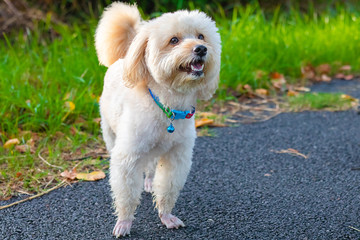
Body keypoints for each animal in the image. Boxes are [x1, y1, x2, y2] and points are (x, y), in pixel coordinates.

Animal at [94, 1, 221, 237]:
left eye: (201, 36)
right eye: (174, 40)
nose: (201, 49)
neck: (168, 106)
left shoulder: (176, 157)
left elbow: (168, 187)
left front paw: (166, 216)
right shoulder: (128, 156)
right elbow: (126, 193)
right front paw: (124, 222)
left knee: (152, 167)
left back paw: (149, 182)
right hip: (110, 133)